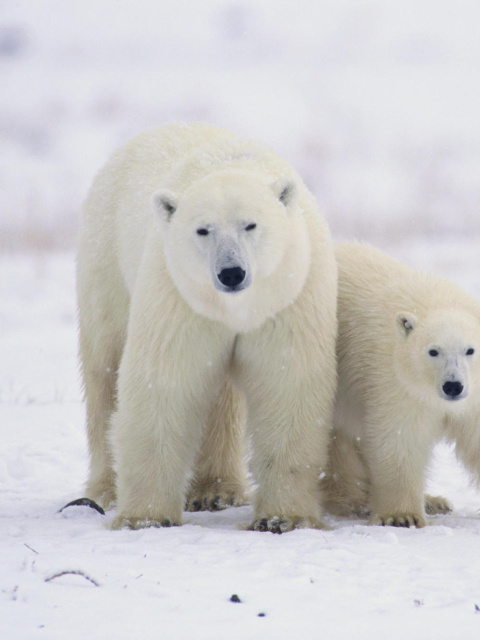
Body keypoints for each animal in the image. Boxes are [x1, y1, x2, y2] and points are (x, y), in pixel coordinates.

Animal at [76, 122, 338, 532]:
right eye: (203, 230)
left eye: (250, 224)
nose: (231, 273)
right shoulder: (179, 294)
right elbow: (165, 379)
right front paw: (146, 517)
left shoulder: (289, 293)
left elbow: (287, 383)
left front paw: (282, 517)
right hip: (106, 260)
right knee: (105, 368)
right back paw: (104, 490)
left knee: (221, 398)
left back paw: (216, 491)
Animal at [322, 242, 480, 528]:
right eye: (433, 351)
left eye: (470, 350)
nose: (453, 386)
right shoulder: (395, 381)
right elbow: (399, 437)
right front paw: (401, 515)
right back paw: (353, 501)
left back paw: (434, 500)